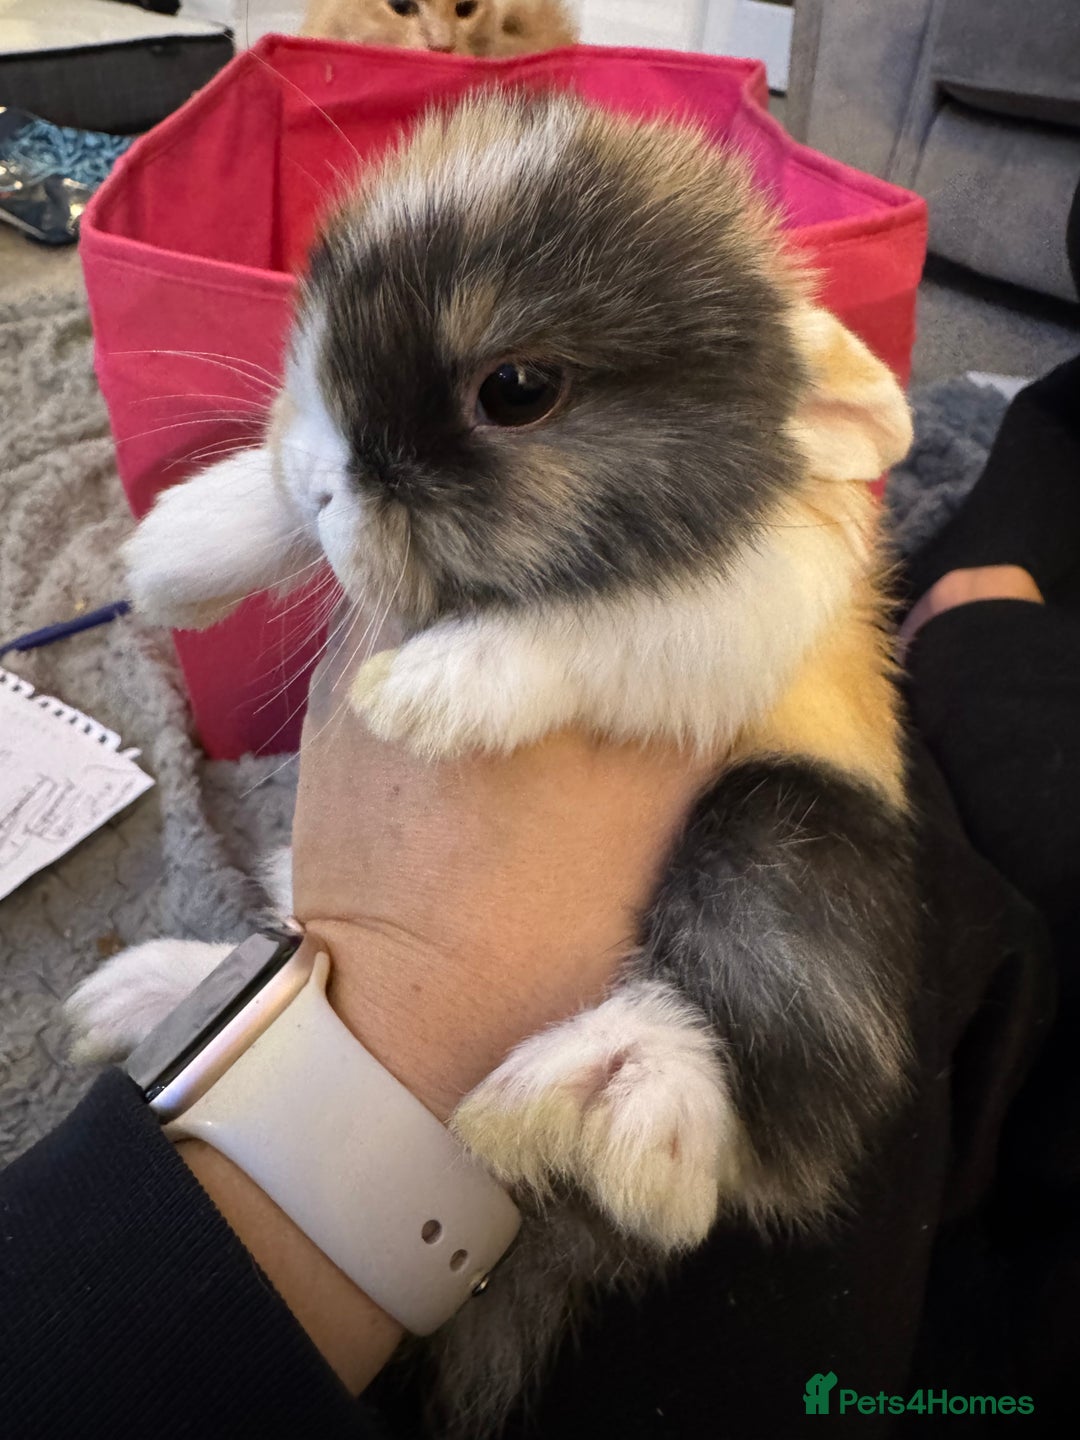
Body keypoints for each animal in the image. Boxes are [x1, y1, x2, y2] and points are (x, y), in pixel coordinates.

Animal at [67, 91, 917, 1434]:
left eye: (515, 389)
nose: (329, 483)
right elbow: (270, 510)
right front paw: (177, 551)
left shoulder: (722, 614)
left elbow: (590, 629)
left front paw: (425, 696)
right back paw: (148, 994)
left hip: (786, 827)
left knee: (748, 1122)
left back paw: (616, 1103)